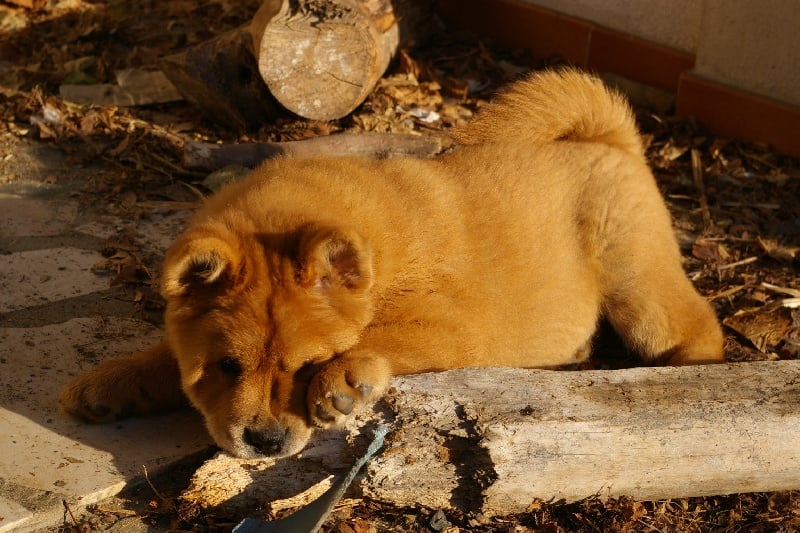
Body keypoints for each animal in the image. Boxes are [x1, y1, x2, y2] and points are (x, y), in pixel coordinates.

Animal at [61, 67, 724, 458]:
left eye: (307, 365)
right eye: (226, 366)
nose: (266, 441)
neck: (381, 258)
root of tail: (610, 141)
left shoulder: (454, 326)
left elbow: (379, 335)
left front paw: (343, 382)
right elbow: (163, 357)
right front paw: (111, 383)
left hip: (639, 290)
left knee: (699, 328)